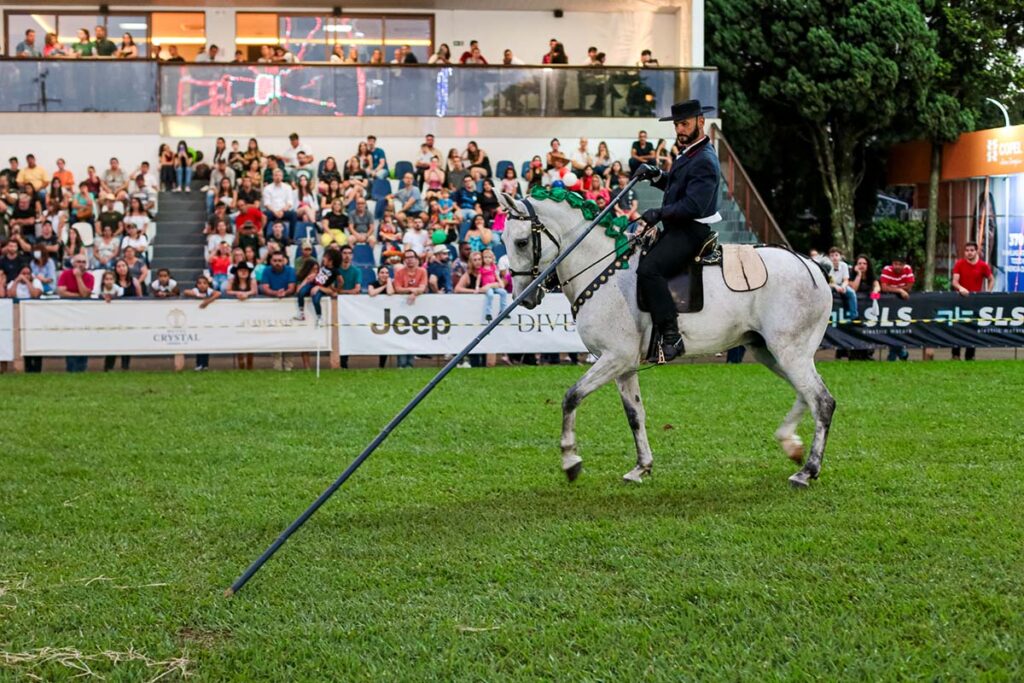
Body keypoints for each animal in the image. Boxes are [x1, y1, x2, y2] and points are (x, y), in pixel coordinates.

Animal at [495, 191, 835, 488]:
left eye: (521, 242)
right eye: (503, 240)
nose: (524, 297)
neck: (603, 270)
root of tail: (816, 267)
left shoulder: (614, 357)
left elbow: (571, 397)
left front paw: (570, 461)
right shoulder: (623, 366)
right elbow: (635, 414)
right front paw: (641, 467)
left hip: (789, 352)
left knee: (822, 401)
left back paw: (807, 471)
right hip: (769, 352)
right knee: (807, 396)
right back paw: (791, 444)